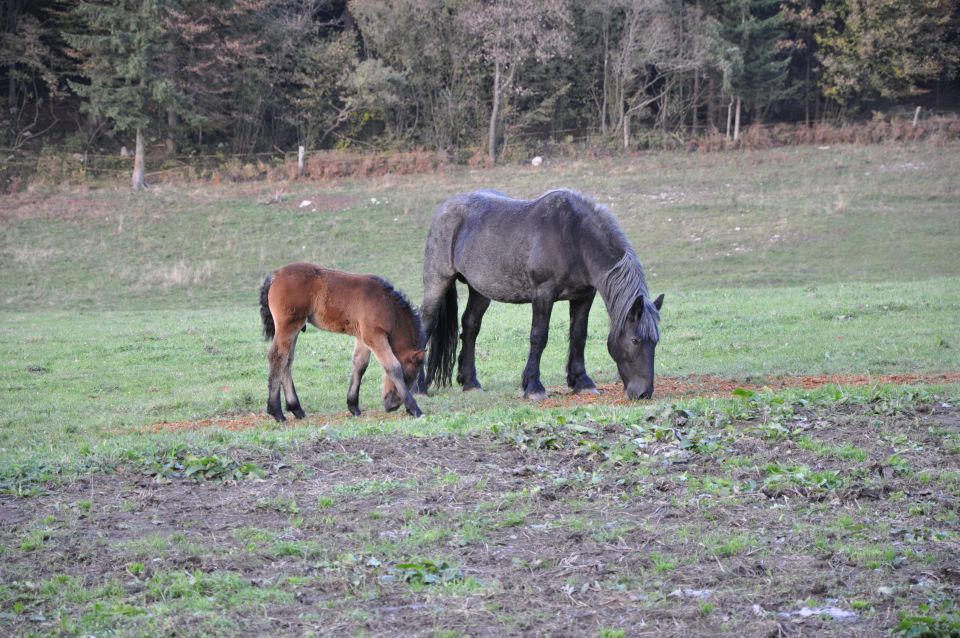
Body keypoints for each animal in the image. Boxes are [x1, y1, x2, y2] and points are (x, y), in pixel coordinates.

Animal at [258, 262, 424, 422]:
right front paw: (415, 409)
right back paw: (276, 412)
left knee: (287, 360)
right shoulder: (375, 335)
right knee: (278, 357)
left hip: (295, 327)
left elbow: (360, 365)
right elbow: (392, 367)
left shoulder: (363, 337)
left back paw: (296, 409)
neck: (388, 306)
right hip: (288, 325)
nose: (391, 406)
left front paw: (353, 407)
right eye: (406, 377)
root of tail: (275, 275)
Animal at [416, 188, 664, 402]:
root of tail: (445, 208)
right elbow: (539, 336)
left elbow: (579, 335)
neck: (574, 237)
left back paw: (471, 384)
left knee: (470, 327)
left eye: (655, 341)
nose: (644, 393)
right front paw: (534, 387)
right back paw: (419, 388)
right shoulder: (543, 294)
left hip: (480, 290)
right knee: (426, 325)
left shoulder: (584, 296)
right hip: (438, 281)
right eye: (635, 340)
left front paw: (582, 382)